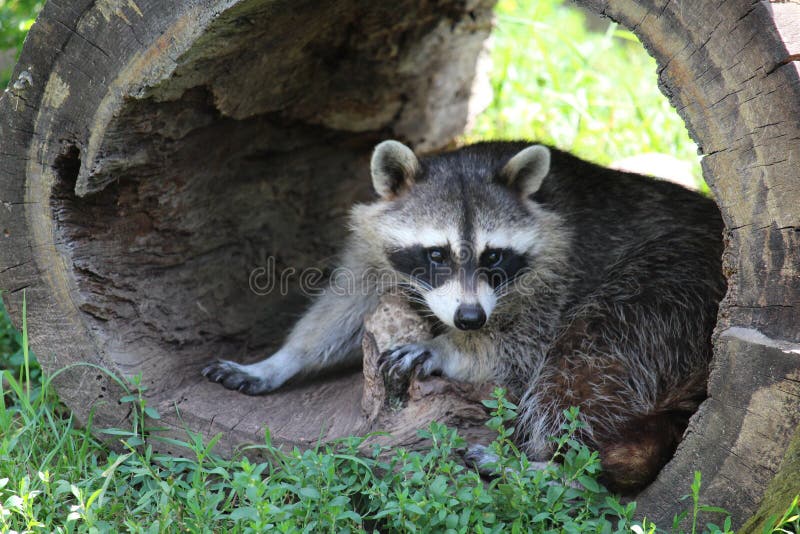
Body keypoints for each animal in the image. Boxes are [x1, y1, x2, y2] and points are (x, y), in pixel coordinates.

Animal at [203, 140, 726, 493]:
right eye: (437, 253)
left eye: (494, 257)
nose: (470, 319)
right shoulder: (375, 251)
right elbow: (343, 310)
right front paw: (279, 361)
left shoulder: (566, 268)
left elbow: (526, 351)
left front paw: (447, 349)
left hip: (667, 287)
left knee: (584, 362)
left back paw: (560, 469)